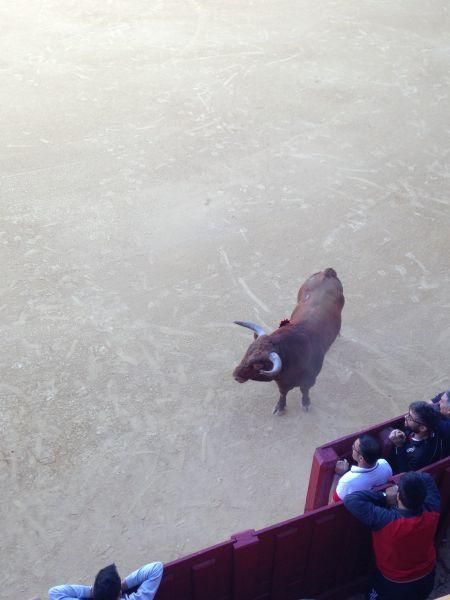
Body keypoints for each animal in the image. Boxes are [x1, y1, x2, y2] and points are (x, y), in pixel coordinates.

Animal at [232, 270, 344, 414]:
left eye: (258, 365)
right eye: (247, 352)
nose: (235, 375)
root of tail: (327, 272)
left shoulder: (310, 380)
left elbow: (304, 391)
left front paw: (306, 403)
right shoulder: (282, 382)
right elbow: (283, 393)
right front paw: (280, 407)